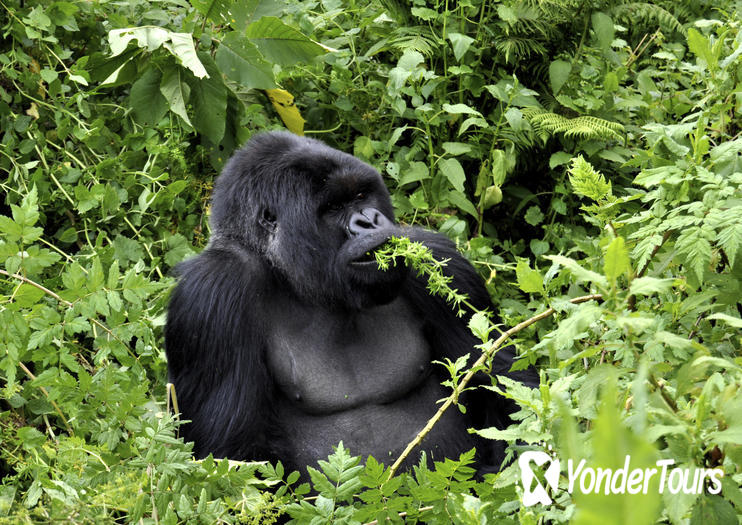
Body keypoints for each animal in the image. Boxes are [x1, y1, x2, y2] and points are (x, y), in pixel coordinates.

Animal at [164, 130, 536, 470]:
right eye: (333, 207)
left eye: (360, 194)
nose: (370, 219)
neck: (294, 277)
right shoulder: (213, 293)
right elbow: (232, 456)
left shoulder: (441, 260)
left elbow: (510, 393)